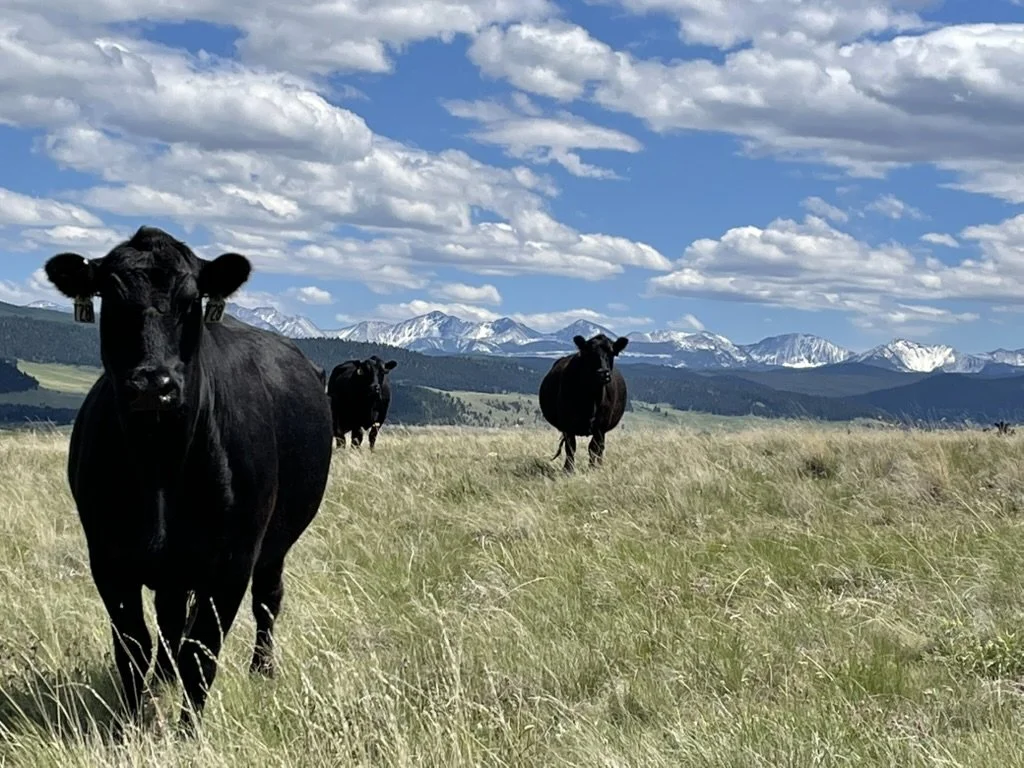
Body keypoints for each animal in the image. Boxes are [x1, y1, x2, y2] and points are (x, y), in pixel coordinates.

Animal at [42, 226, 333, 734]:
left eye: (191, 299)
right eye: (111, 296)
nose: (153, 383)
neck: (161, 463)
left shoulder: (233, 561)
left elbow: (202, 652)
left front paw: (187, 733)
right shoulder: (108, 556)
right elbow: (133, 645)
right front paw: (134, 724)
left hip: (274, 545)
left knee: (267, 601)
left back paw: (262, 670)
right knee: (170, 622)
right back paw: (164, 678)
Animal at [538, 333, 629, 473]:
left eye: (611, 352)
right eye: (589, 352)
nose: (603, 373)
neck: (592, 399)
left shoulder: (601, 425)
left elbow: (593, 448)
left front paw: (592, 469)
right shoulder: (567, 424)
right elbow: (571, 447)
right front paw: (568, 470)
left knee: (600, 448)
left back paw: (599, 465)